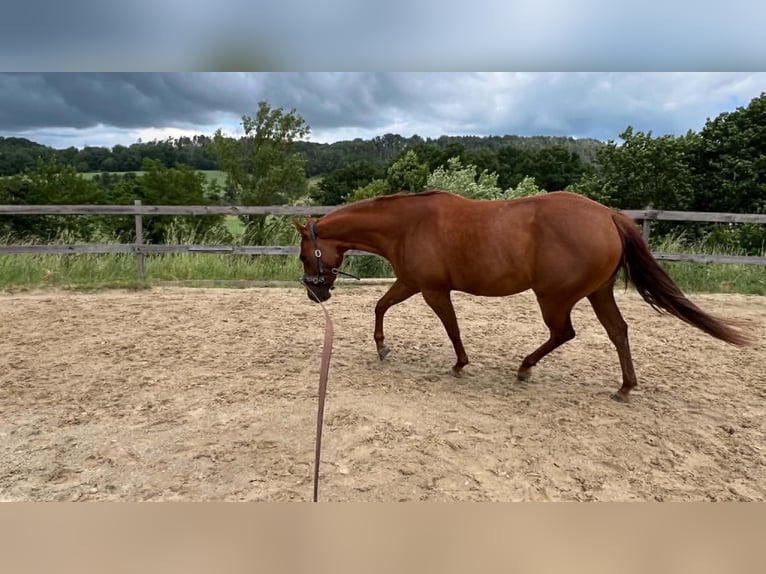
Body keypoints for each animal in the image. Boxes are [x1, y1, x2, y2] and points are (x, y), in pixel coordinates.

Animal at [295, 189, 749, 402]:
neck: (408, 225)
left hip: (554, 297)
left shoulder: (432, 290)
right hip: (597, 293)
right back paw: (624, 388)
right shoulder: (410, 283)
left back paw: (525, 368)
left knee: (564, 333)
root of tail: (607, 215)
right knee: (618, 331)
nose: (317, 296)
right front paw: (382, 347)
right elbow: (380, 305)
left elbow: (451, 327)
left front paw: (459, 365)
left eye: (302, 254)